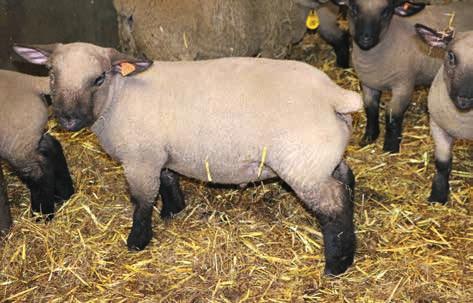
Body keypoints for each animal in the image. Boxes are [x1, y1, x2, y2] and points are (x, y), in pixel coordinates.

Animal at [0, 69, 74, 235]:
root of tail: (30, 82)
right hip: (29, 137)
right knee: (52, 147)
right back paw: (64, 195)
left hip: (16, 144)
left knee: (39, 173)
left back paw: (42, 215)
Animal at [330, 0, 472, 152]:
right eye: (353, 9)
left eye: (386, 12)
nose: (366, 38)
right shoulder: (368, 83)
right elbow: (370, 108)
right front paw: (369, 137)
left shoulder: (403, 86)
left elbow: (393, 114)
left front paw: (390, 147)